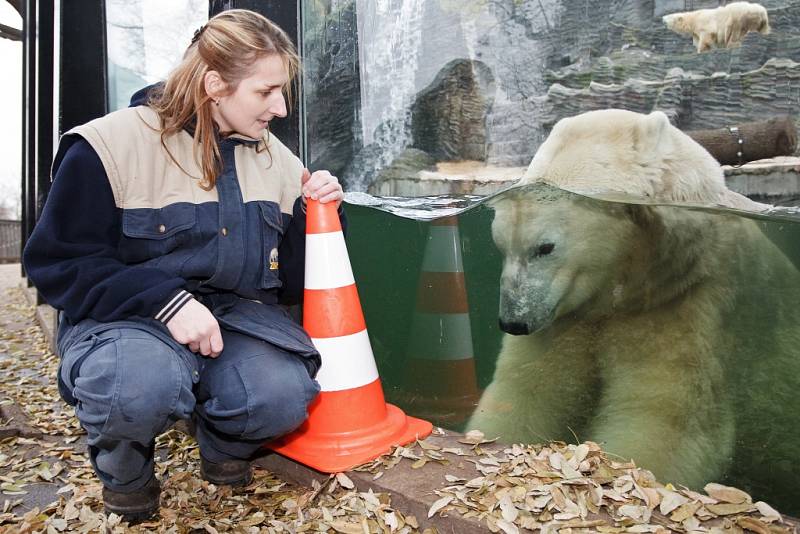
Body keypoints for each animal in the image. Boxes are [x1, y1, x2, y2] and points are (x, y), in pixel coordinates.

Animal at [466, 108, 800, 510]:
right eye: (501, 245)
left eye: (545, 247)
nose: (514, 321)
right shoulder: (568, 318)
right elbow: (527, 390)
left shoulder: (693, 305)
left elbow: (666, 420)